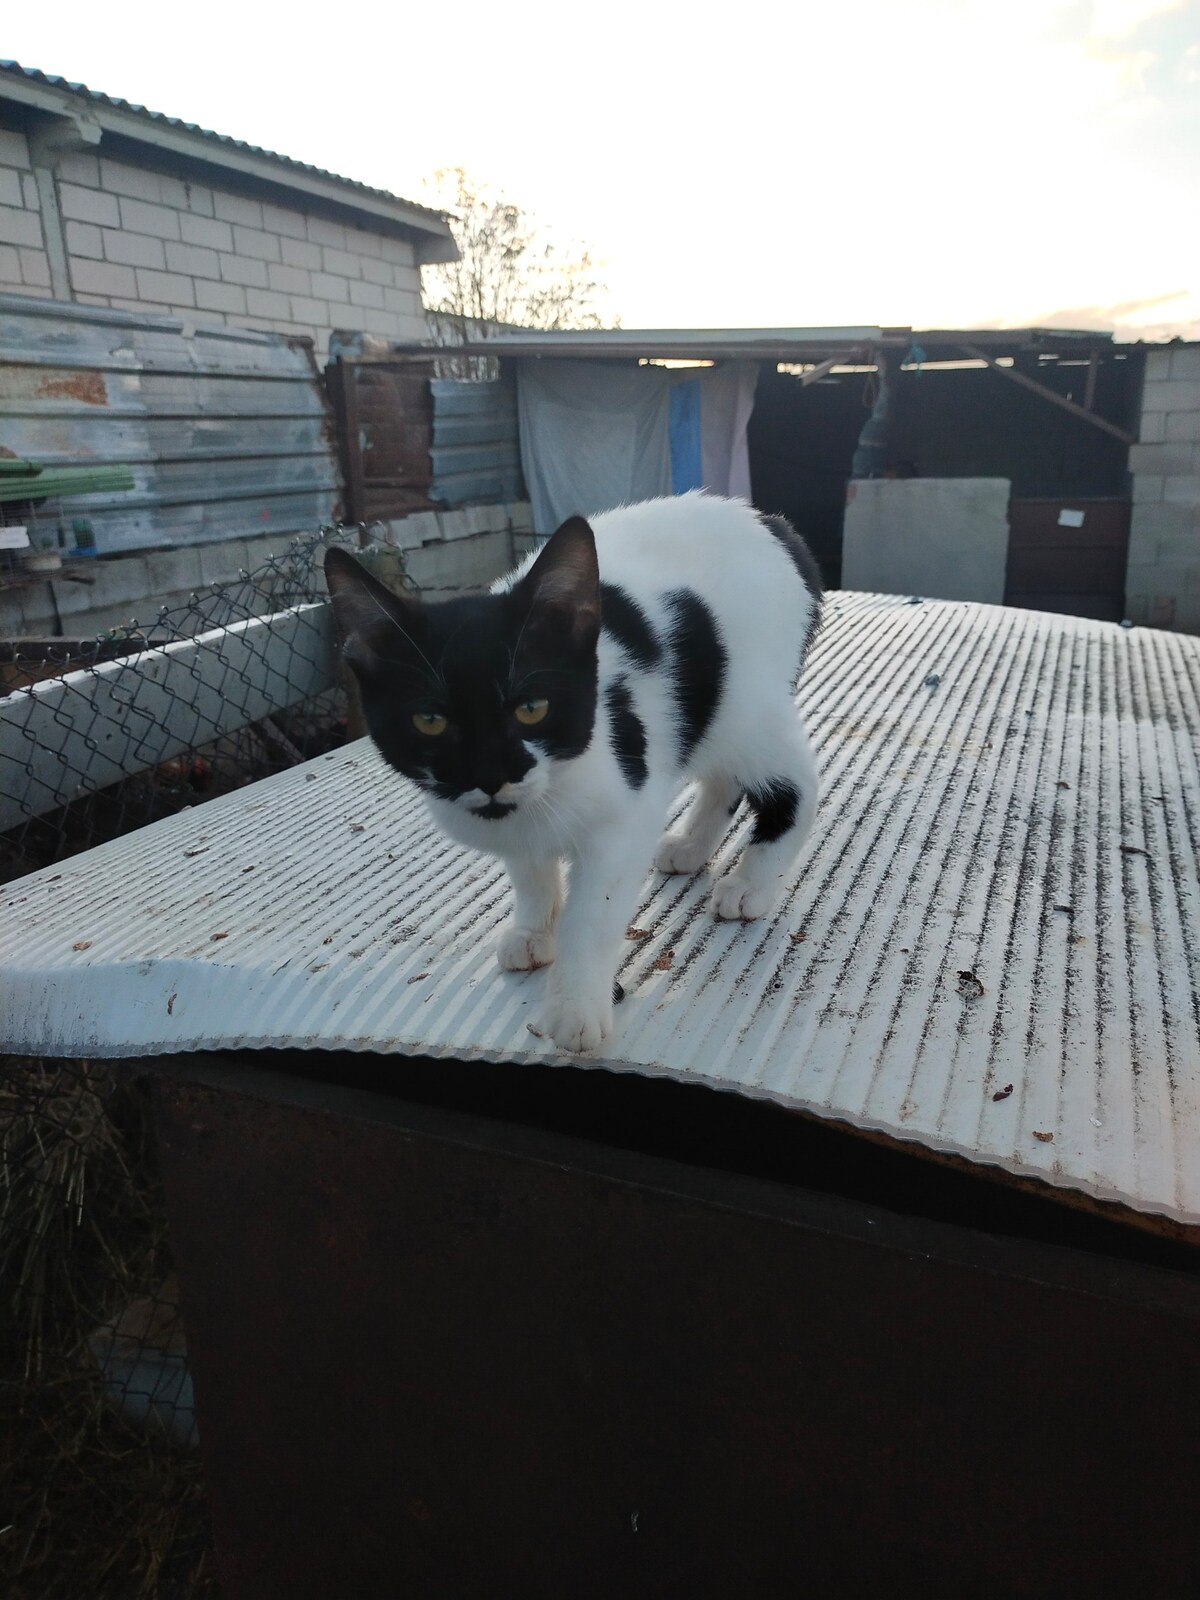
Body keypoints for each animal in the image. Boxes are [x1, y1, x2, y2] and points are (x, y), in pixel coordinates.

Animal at [324, 492, 825, 1056]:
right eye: (429, 720)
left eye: (532, 709)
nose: (490, 775)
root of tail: (769, 521)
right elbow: (529, 870)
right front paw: (534, 929)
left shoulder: (624, 819)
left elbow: (592, 917)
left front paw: (575, 1006)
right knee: (722, 776)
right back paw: (690, 846)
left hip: (746, 706)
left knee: (794, 780)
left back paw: (752, 882)